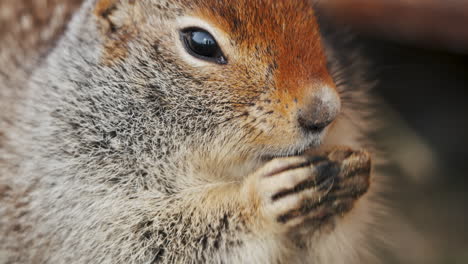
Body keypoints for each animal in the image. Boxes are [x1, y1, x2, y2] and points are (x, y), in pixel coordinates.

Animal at [0, 0, 384, 262]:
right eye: (200, 43)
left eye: (310, 13)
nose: (324, 113)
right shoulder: (70, 197)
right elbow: (153, 243)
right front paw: (262, 199)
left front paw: (349, 178)